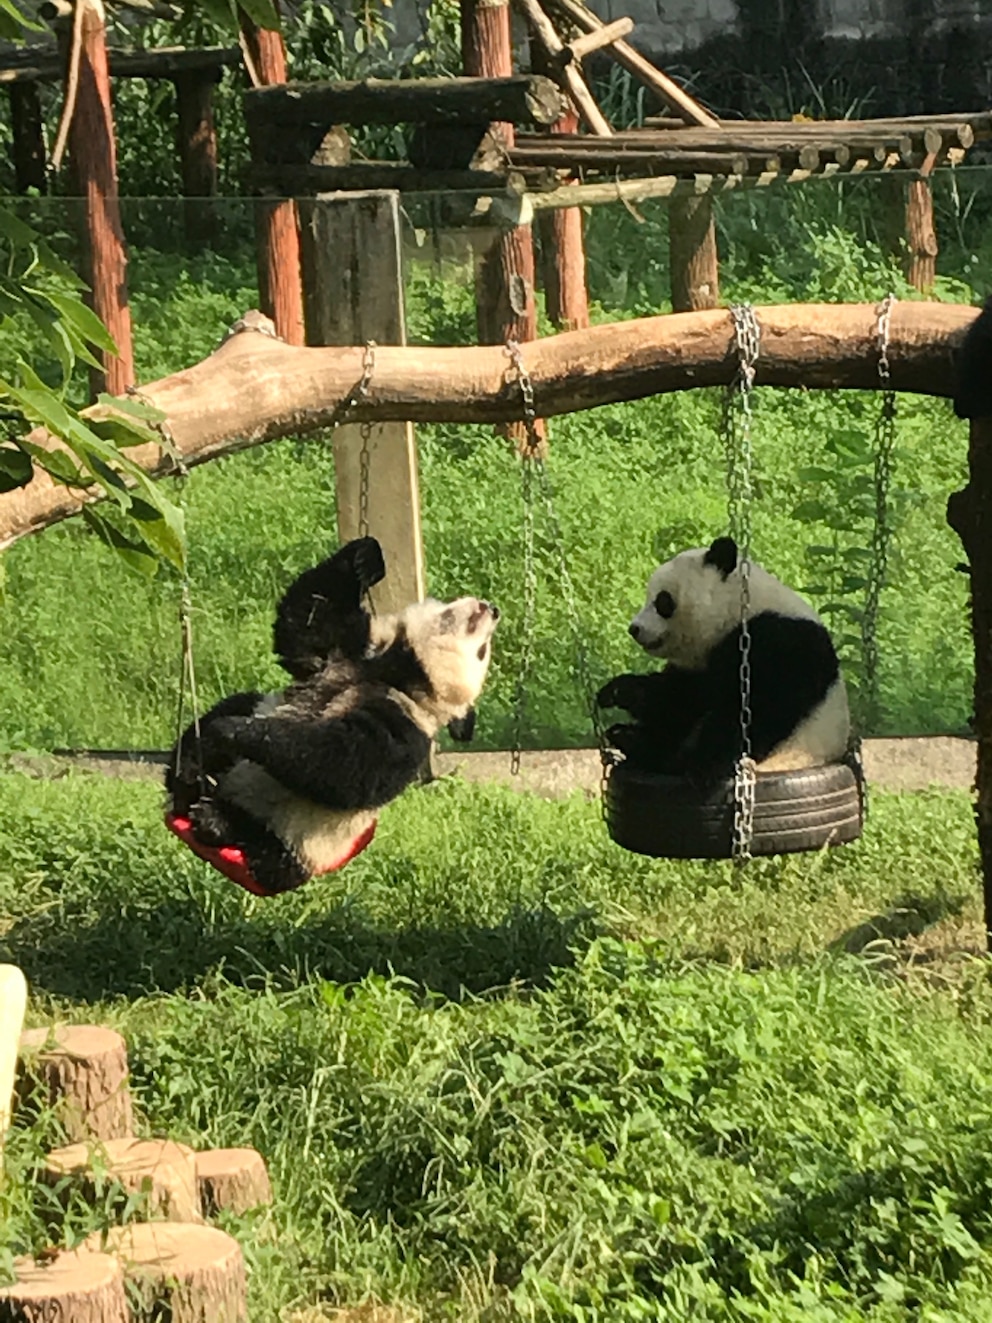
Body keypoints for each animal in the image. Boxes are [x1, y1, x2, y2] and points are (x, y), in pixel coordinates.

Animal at [167, 537, 505, 899]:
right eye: (449, 607)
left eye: (482, 651)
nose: (491, 608)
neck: (400, 671)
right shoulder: (347, 654)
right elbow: (309, 618)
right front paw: (366, 559)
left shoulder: (405, 724)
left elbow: (345, 765)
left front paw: (243, 733)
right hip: (256, 712)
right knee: (230, 710)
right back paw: (188, 772)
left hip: (308, 838)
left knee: (273, 856)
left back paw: (217, 822)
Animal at [597, 537, 857, 783]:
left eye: (662, 601)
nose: (634, 629)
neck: (737, 610)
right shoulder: (700, 665)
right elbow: (679, 700)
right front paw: (618, 691)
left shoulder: (781, 643)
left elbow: (755, 708)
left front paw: (702, 766)